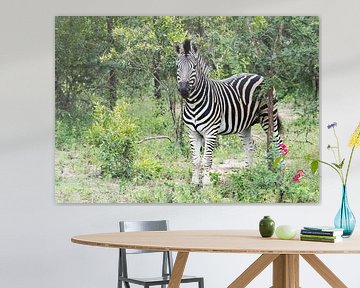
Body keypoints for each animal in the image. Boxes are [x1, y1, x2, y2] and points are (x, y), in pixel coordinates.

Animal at [174, 39, 284, 186]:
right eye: (177, 67)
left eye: (194, 67)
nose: (184, 91)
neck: (193, 104)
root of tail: (260, 76)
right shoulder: (192, 133)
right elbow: (196, 160)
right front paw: (194, 183)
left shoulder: (211, 132)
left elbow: (207, 159)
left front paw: (207, 184)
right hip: (244, 124)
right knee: (250, 146)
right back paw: (248, 175)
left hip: (268, 117)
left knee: (278, 143)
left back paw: (281, 172)